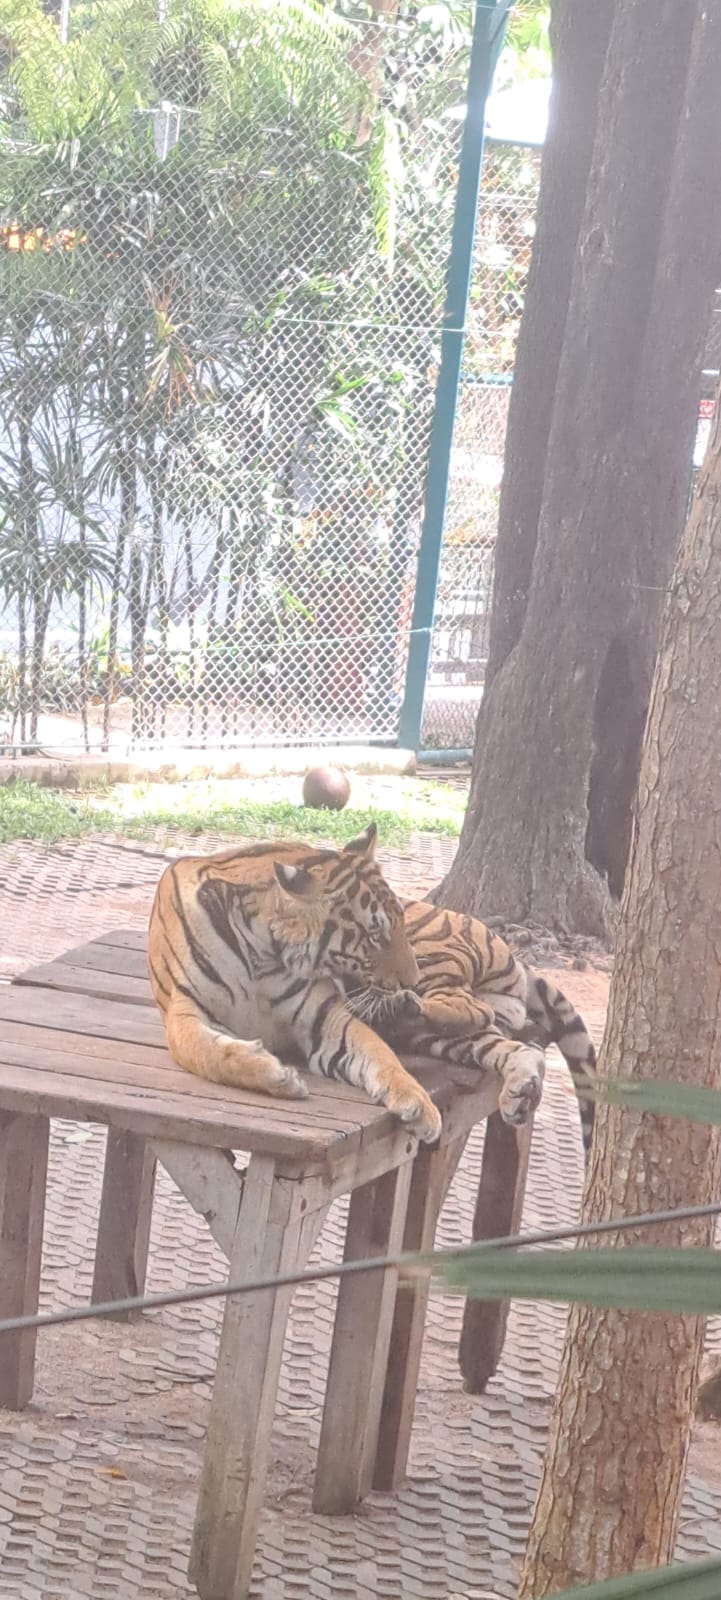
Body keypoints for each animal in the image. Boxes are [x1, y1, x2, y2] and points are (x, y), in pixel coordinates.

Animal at [147, 823, 596, 1150]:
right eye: (375, 935)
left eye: (397, 923)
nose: (408, 979)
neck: (264, 948)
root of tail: (515, 958)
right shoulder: (183, 1012)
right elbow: (208, 1054)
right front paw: (277, 1077)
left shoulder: (324, 1017)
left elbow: (378, 1055)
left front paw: (419, 1107)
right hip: (444, 1034)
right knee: (511, 1043)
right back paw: (519, 1091)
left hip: (433, 956)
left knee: (467, 1006)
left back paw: (407, 1005)